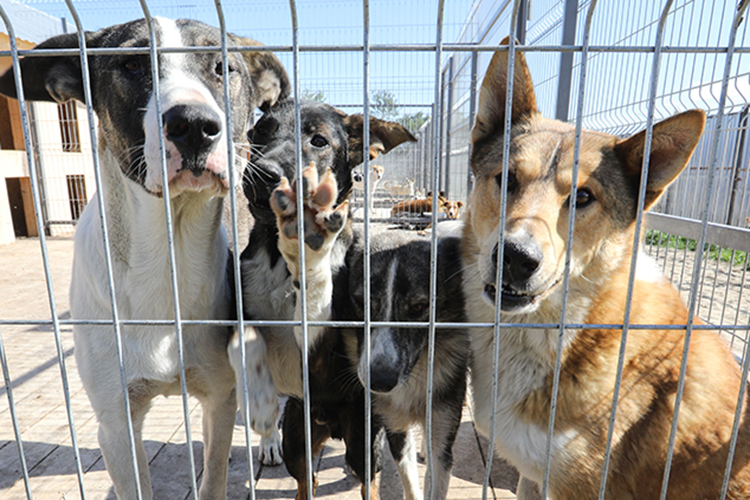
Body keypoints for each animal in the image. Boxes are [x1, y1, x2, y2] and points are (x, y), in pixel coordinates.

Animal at [0, 16, 290, 500]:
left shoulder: (219, 399)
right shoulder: (116, 423)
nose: (194, 125)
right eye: (132, 64)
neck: (166, 258)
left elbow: (213, 476)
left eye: (223, 66)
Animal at [229, 97, 418, 464]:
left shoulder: (327, 344)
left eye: (318, 141)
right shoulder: (236, 311)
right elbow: (247, 342)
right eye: (261, 131)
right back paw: (270, 439)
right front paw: (259, 406)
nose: (262, 172)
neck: (279, 254)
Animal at [270, 165, 470, 500]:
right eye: (361, 302)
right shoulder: (392, 424)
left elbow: (434, 474)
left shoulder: (441, 430)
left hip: (365, 446)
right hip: (299, 440)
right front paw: (308, 249)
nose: (380, 382)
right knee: (307, 479)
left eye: (419, 307)